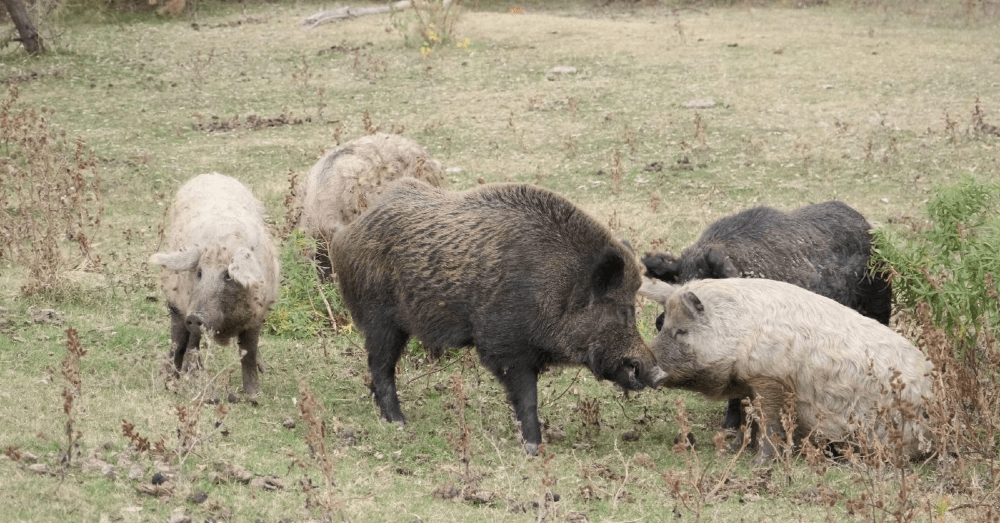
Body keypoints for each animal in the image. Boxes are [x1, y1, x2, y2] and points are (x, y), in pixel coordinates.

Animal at [149, 173, 280, 395]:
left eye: (228, 275)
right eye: (199, 272)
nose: (196, 316)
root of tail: (211, 174)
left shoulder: (257, 314)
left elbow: (248, 352)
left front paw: (255, 396)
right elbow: (187, 342)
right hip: (178, 301)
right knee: (182, 340)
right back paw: (175, 378)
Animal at [330, 178, 667, 455]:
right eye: (621, 310)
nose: (658, 373)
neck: (555, 288)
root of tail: (347, 233)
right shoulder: (503, 344)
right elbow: (526, 396)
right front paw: (533, 448)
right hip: (379, 317)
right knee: (381, 365)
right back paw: (399, 422)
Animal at [649, 277, 934, 464]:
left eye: (681, 331)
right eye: (663, 326)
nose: (647, 370)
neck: (739, 333)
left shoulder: (771, 379)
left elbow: (770, 423)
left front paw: (759, 464)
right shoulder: (751, 384)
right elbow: (750, 419)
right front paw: (733, 450)